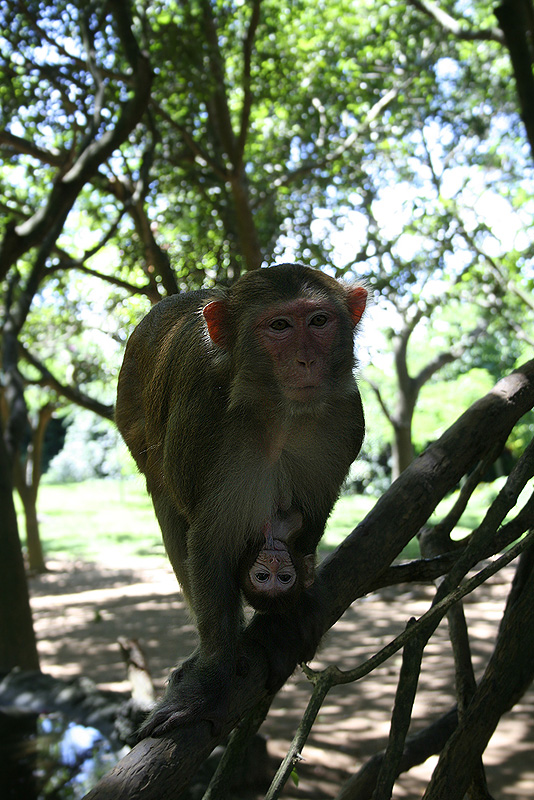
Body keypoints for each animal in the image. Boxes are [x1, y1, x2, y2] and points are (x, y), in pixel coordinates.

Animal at [116, 264, 368, 736]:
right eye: (280, 326)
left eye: (318, 321)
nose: (306, 360)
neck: (280, 413)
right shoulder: (203, 423)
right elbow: (210, 540)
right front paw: (209, 681)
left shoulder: (345, 419)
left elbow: (313, 512)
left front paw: (296, 604)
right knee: (169, 503)